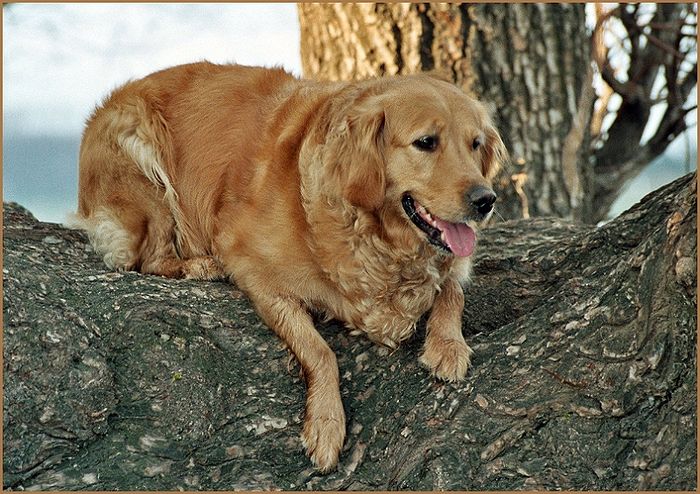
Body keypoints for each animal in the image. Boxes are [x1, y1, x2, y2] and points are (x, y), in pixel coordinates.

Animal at [74, 61, 506, 470]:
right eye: (426, 142)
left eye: (475, 144)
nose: (486, 199)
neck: (377, 239)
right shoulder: (251, 264)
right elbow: (320, 351)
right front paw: (327, 425)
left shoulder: (448, 261)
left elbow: (452, 289)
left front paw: (448, 346)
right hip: (142, 160)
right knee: (146, 259)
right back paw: (197, 265)